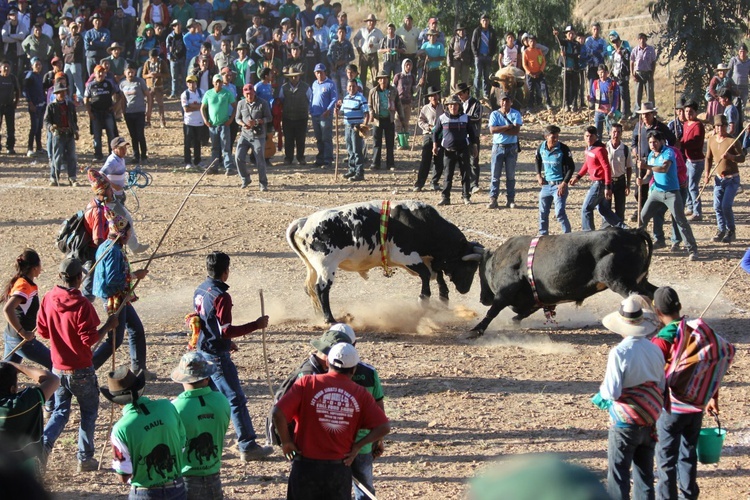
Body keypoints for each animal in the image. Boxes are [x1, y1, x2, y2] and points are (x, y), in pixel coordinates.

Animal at [284, 200, 484, 322]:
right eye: (468, 268)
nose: (465, 290)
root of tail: (303, 222)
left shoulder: (428, 259)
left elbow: (438, 275)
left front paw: (443, 299)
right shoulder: (406, 256)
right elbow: (427, 275)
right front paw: (423, 300)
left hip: (312, 267)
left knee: (309, 288)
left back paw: (319, 314)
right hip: (326, 266)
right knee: (321, 289)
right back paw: (329, 318)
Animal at [470, 229, 656, 338]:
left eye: (480, 272)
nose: (482, 299)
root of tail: (633, 233)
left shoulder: (506, 291)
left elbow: (493, 310)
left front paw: (477, 329)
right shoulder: (538, 299)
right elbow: (523, 313)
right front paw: (513, 321)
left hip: (620, 282)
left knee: (640, 298)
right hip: (639, 281)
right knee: (653, 293)